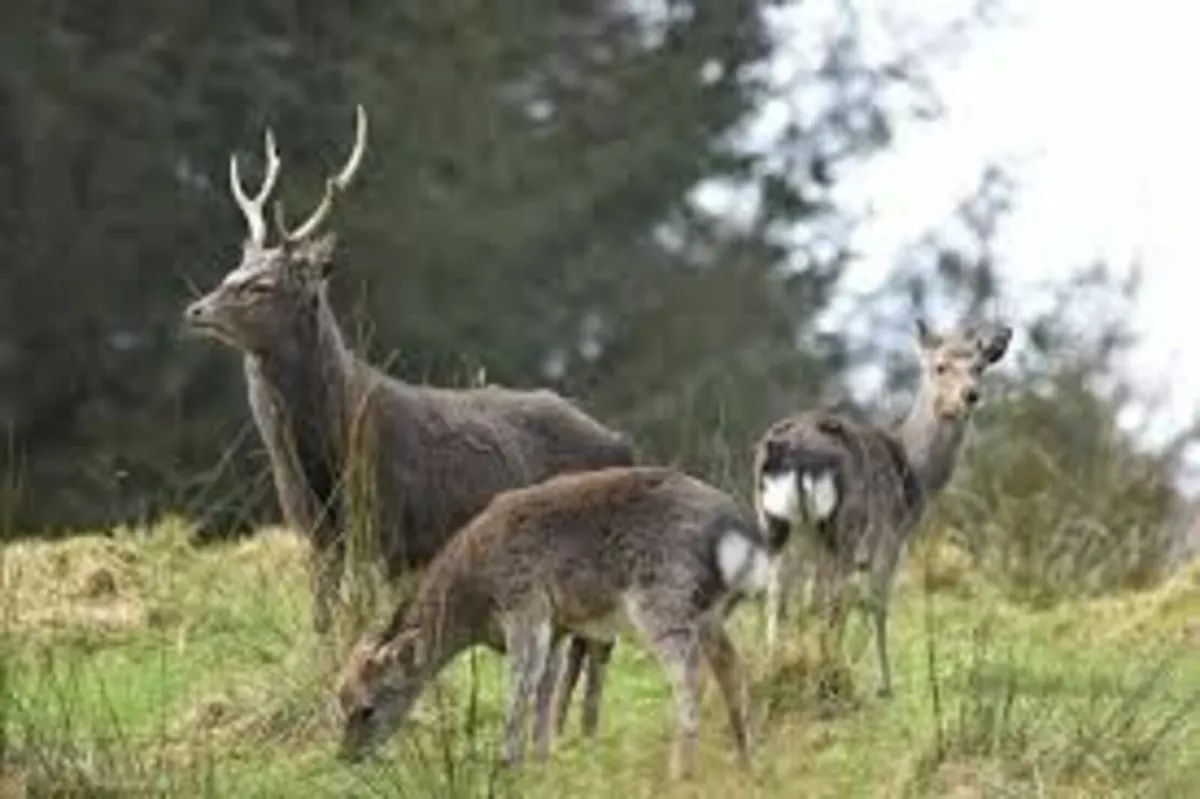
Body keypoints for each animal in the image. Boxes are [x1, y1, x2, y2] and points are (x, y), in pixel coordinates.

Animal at [182, 104, 634, 736]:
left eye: (263, 284)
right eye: (232, 270)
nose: (197, 309)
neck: (328, 449)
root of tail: (621, 440)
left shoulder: (390, 526)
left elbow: (371, 620)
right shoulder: (315, 531)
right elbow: (324, 617)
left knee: (598, 643)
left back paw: (578, 729)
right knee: (581, 643)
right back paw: (566, 725)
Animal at [334, 465, 782, 779]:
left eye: (367, 708)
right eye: (340, 702)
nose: (345, 757)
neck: (478, 594)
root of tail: (739, 536)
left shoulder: (525, 604)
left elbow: (521, 685)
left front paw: (507, 764)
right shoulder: (559, 627)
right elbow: (546, 690)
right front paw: (541, 761)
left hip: (663, 600)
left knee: (692, 676)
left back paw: (681, 772)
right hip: (709, 611)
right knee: (731, 669)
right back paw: (747, 761)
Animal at [752, 318, 1012, 698]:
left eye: (979, 367)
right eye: (940, 367)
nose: (970, 395)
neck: (916, 475)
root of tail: (793, 449)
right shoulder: (891, 533)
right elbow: (876, 600)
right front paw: (884, 684)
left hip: (776, 524)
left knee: (780, 596)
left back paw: (775, 673)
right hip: (843, 525)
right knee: (828, 598)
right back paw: (829, 677)